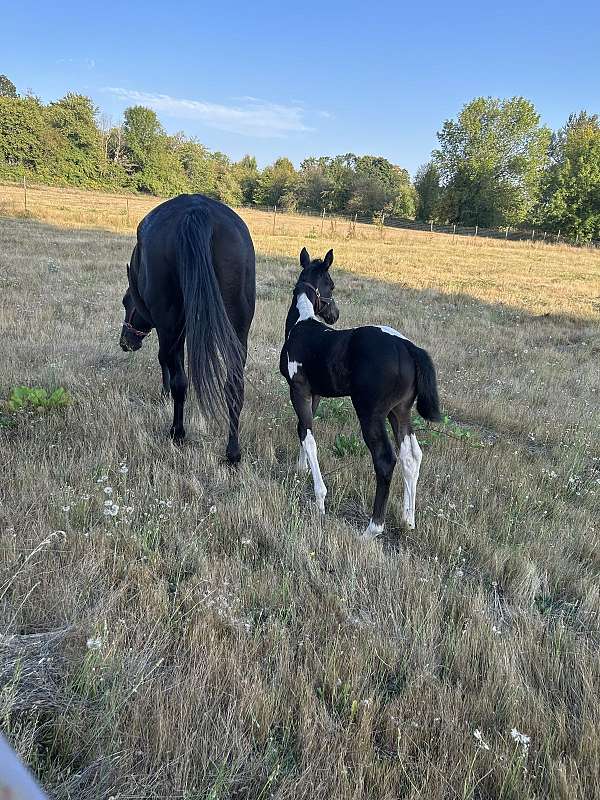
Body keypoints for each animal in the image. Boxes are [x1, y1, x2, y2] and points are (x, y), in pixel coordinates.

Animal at [120, 194, 256, 464]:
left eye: (125, 302)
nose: (125, 342)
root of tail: (197, 211)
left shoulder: (168, 332)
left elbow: (165, 364)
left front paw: (163, 394)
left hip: (170, 323)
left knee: (180, 382)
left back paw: (177, 432)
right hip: (238, 328)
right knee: (234, 386)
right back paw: (233, 452)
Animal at [279, 247, 441, 537]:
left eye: (331, 284)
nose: (335, 314)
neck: (301, 325)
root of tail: (409, 348)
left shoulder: (297, 389)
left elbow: (308, 436)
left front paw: (320, 500)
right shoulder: (314, 393)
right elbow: (304, 429)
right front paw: (300, 469)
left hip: (370, 413)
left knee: (386, 460)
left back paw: (372, 530)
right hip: (399, 411)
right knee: (411, 456)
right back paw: (408, 520)